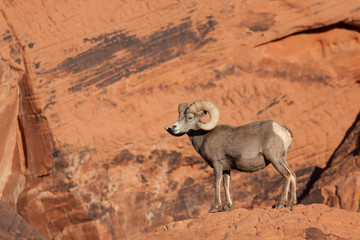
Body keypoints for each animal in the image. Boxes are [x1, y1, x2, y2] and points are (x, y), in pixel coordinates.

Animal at [165, 99, 296, 212]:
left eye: (189, 118)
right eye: (179, 117)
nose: (174, 127)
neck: (204, 136)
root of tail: (283, 131)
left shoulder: (217, 164)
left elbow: (216, 183)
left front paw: (214, 207)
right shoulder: (226, 169)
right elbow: (225, 185)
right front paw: (226, 207)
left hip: (274, 159)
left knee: (286, 175)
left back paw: (280, 204)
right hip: (282, 159)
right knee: (293, 175)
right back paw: (291, 204)